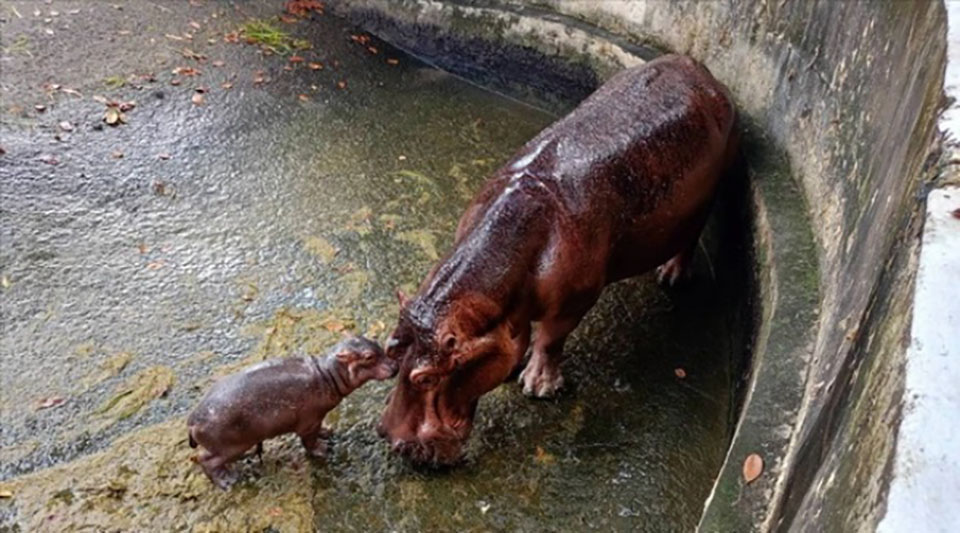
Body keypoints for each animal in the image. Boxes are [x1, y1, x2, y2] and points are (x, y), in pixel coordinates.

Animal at [188, 336, 397, 489]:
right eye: (369, 357)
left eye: (377, 342)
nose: (395, 366)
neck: (328, 373)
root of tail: (192, 419)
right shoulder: (309, 422)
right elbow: (309, 441)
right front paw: (323, 450)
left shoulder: (317, 420)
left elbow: (320, 430)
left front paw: (327, 432)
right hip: (231, 445)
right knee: (205, 460)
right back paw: (228, 481)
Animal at [377, 54, 739, 465]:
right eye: (391, 352)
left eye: (426, 378)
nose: (390, 439)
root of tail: (698, 68)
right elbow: (520, 338)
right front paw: (520, 363)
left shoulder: (574, 301)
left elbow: (552, 339)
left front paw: (538, 386)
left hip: (706, 201)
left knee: (690, 239)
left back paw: (672, 276)